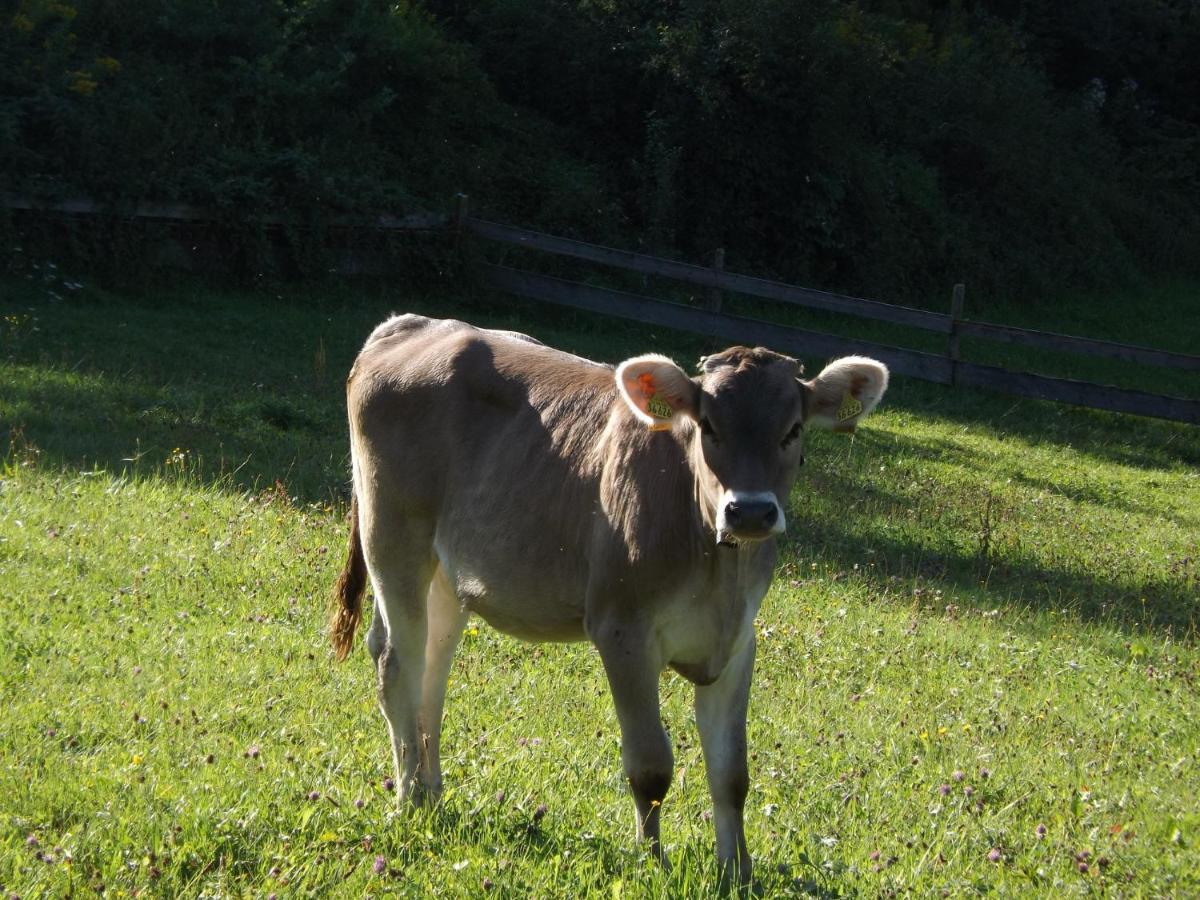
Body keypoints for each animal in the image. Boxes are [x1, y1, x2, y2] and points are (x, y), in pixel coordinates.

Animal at [333, 316, 888, 888]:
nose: (751, 511)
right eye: (708, 426)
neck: (718, 567)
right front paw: (652, 863)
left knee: (430, 674)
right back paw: (409, 799)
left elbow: (732, 773)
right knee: (397, 663)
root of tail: (415, 325)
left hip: (449, 575)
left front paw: (737, 871)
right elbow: (650, 765)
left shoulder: (738, 644)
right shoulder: (623, 630)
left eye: (793, 430)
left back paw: (432, 793)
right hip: (393, 537)